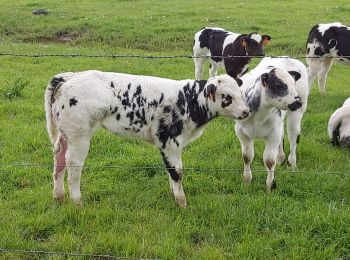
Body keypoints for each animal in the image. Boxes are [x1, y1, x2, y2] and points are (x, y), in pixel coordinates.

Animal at [45, 70, 250, 207]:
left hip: (67, 133)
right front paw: (181, 202)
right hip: (79, 135)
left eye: (240, 94)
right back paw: (77, 201)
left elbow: (170, 170)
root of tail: (69, 77)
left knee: (59, 158)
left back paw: (58, 196)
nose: (246, 111)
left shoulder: (169, 144)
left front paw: (173, 194)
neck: (188, 100)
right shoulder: (170, 141)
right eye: (227, 96)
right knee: (73, 164)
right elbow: (177, 171)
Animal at [234, 57, 308, 191]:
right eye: (278, 84)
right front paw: (247, 180)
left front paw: (270, 185)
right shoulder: (241, 132)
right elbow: (247, 156)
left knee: (293, 138)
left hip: (297, 114)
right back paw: (281, 158)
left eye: (293, 83)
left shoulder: (273, 133)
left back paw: (292, 164)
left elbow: (269, 161)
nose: (297, 102)